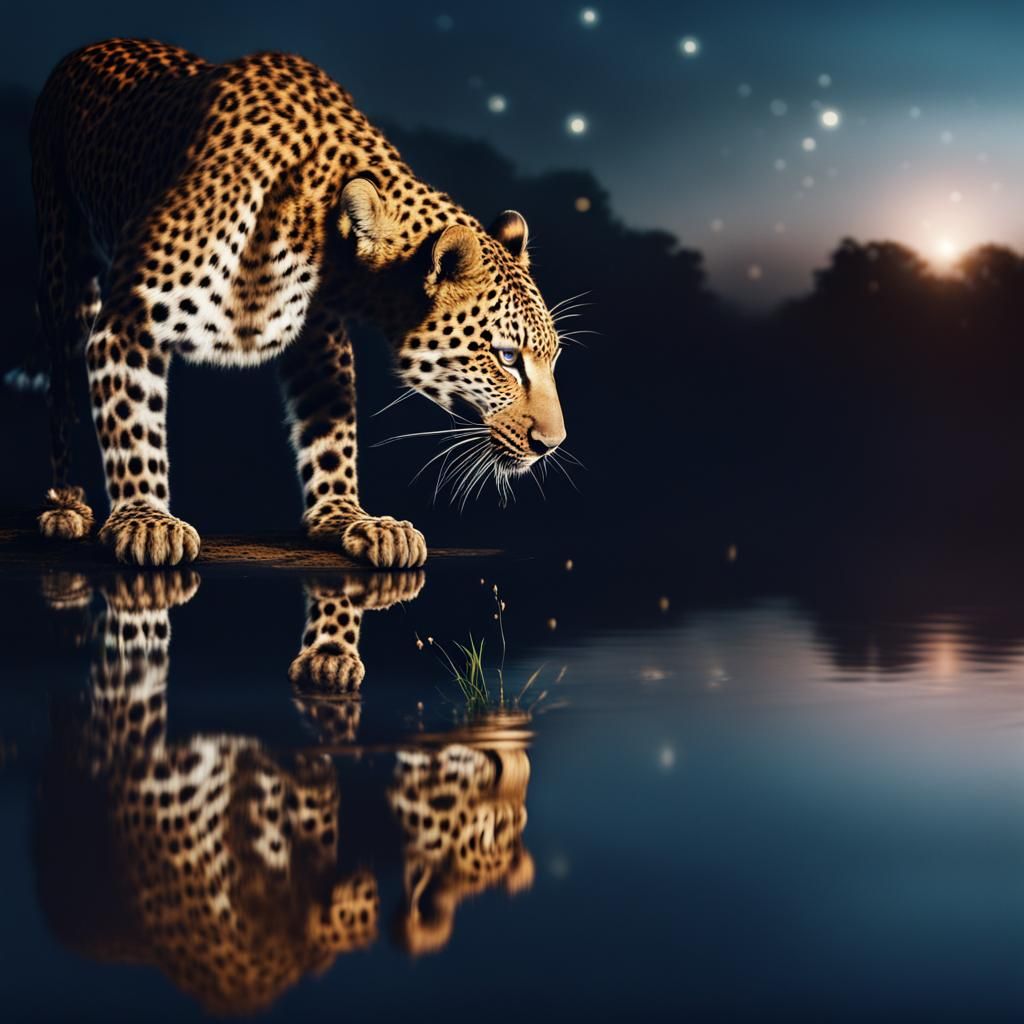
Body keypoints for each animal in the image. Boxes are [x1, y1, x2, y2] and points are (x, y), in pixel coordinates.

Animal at [29, 38, 568, 567]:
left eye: (553, 357)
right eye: (506, 358)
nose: (552, 445)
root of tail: (91, 46)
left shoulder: (317, 337)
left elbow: (331, 435)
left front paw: (348, 519)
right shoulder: (127, 320)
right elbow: (131, 425)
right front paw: (145, 521)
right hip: (63, 270)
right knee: (59, 389)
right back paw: (65, 506)